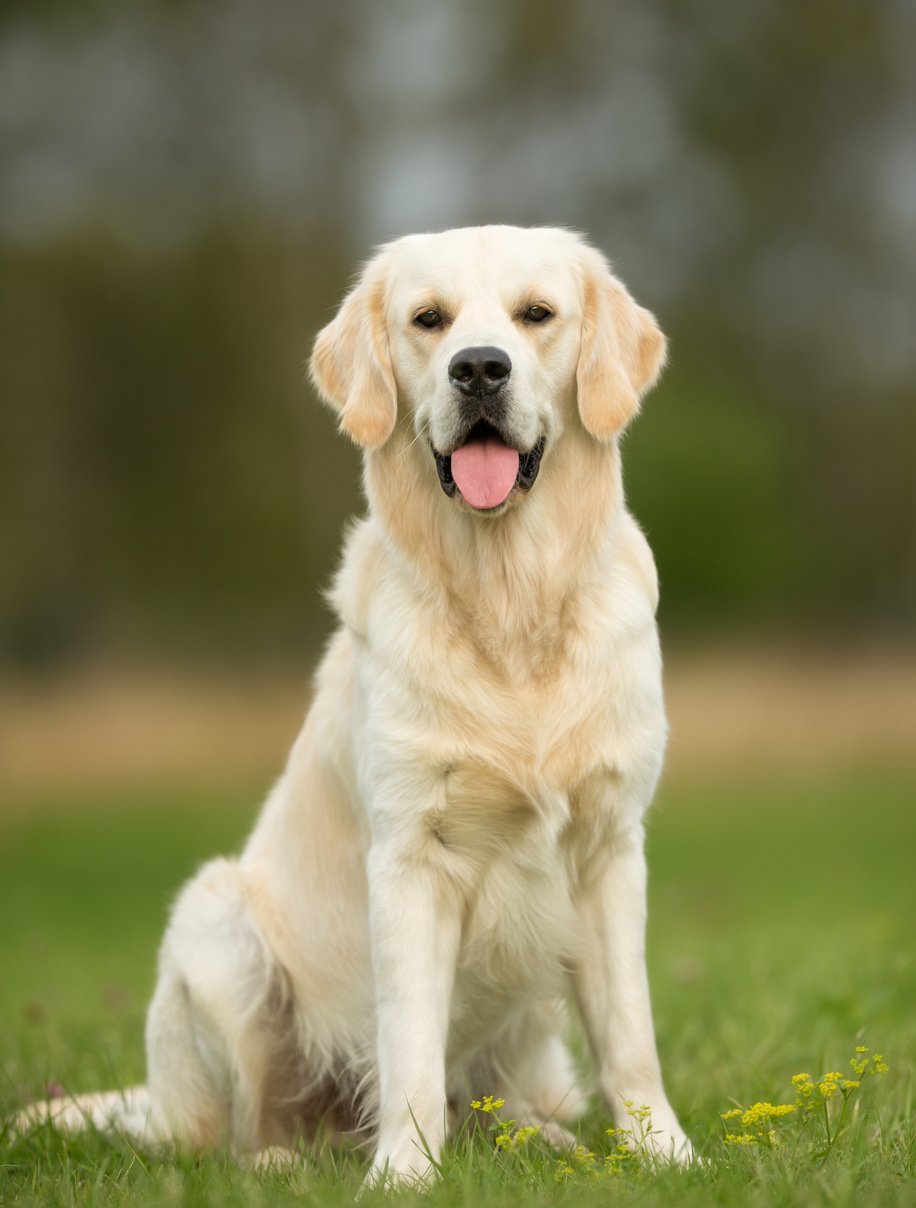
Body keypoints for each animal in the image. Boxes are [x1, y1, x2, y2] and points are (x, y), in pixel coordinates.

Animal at [16, 224, 696, 1179]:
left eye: (536, 314)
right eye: (429, 319)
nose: (478, 369)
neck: (509, 602)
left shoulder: (610, 847)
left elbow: (631, 1032)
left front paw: (665, 1152)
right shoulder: (410, 853)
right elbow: (408, 1039)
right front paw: (405, 1175)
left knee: (498, 1100)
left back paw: (541, 1134)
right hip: (217, 930)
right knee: (234, 1138)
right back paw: (288, 1164)